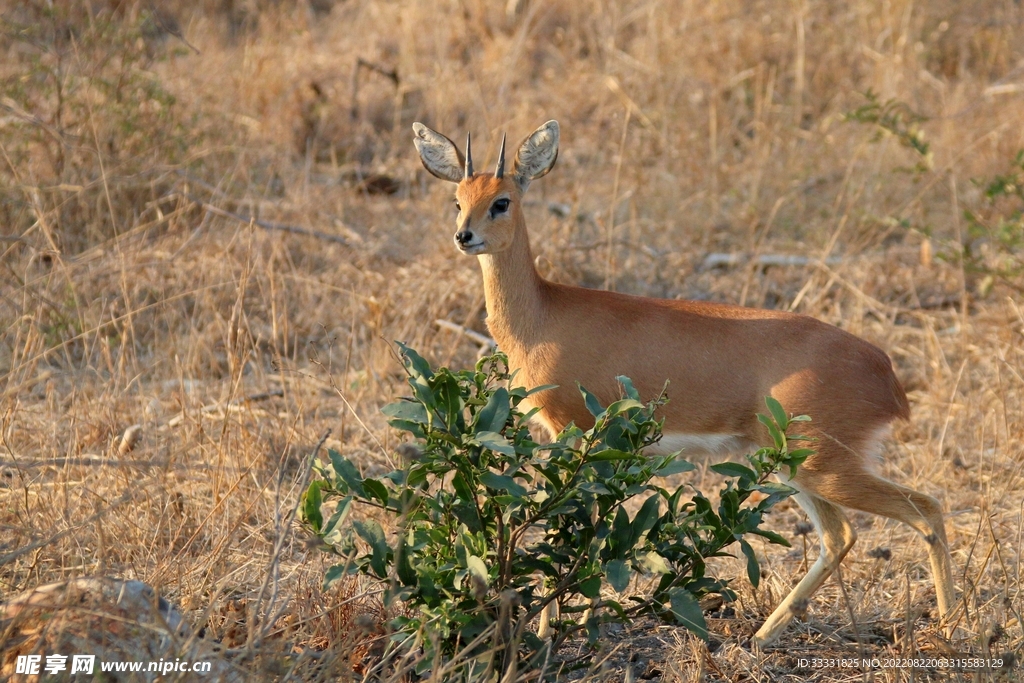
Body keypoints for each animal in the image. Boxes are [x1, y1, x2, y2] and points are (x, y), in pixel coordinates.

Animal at [411, 119, 956, 646]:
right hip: (798, 468)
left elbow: (565, 524)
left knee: (925, 509)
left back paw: (954, 632)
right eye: (458, 200)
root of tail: (886, 374)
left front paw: (551, 633)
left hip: (823, 467)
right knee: (842, 536)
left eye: (502, 201)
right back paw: (760, 638)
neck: (543, 317)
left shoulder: (573, 432)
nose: (464, 236)